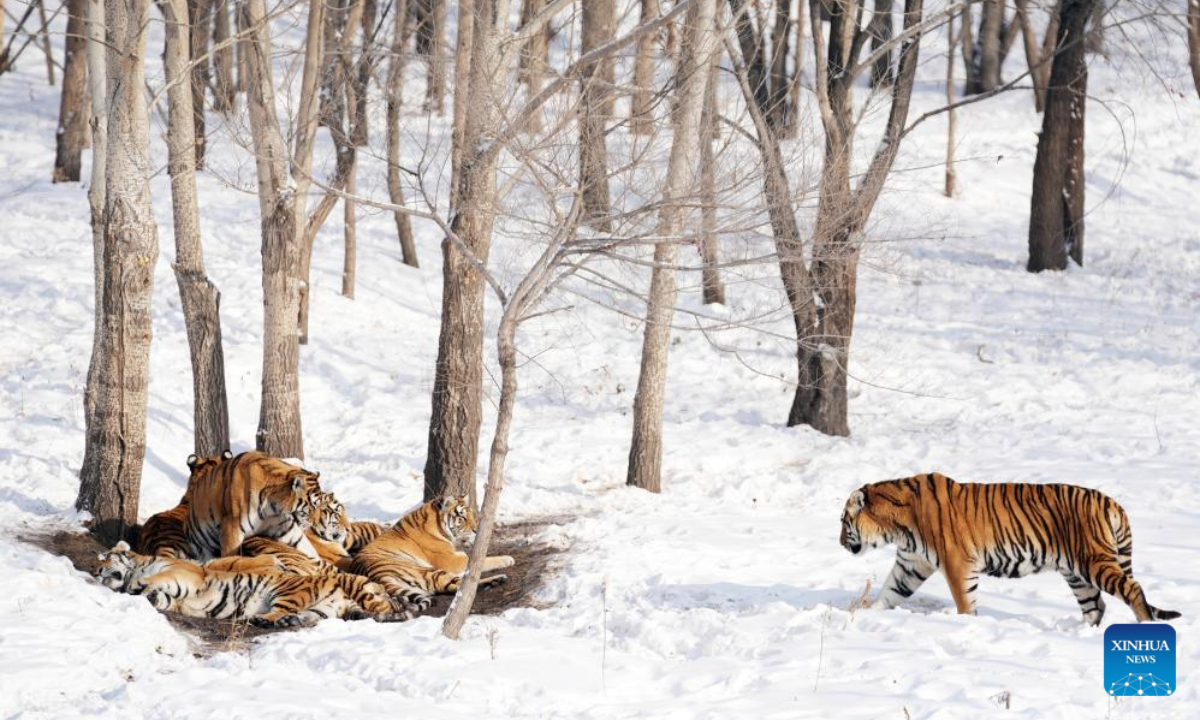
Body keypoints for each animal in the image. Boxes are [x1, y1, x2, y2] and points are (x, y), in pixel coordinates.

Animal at [183, 451, 324, 561]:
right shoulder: (232, 528)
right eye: (313, 505)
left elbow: (308, 548)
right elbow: (230, 556)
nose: (314, 524)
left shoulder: (284, 527)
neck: (272, 509)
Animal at [350, 496, 513, 609]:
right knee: (462, 587)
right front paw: (508, 559)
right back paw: (498, 579)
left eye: (472, 514)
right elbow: (480, 559)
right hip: (429, 571)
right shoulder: (451, 561)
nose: (476, 529)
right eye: (462, 517)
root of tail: (378, 577)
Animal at [844, 472, 1180, 624]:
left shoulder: (957, 564)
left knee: (1132, 589)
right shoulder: (911, 564)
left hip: (1094, 562)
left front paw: (967, 624)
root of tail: (1113, 503)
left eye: (842, 522)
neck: (898, 529)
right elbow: (889, 592)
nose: (839, 542)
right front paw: (868, 613)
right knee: (1096, 606)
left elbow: (965, 602)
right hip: (1077, 574)